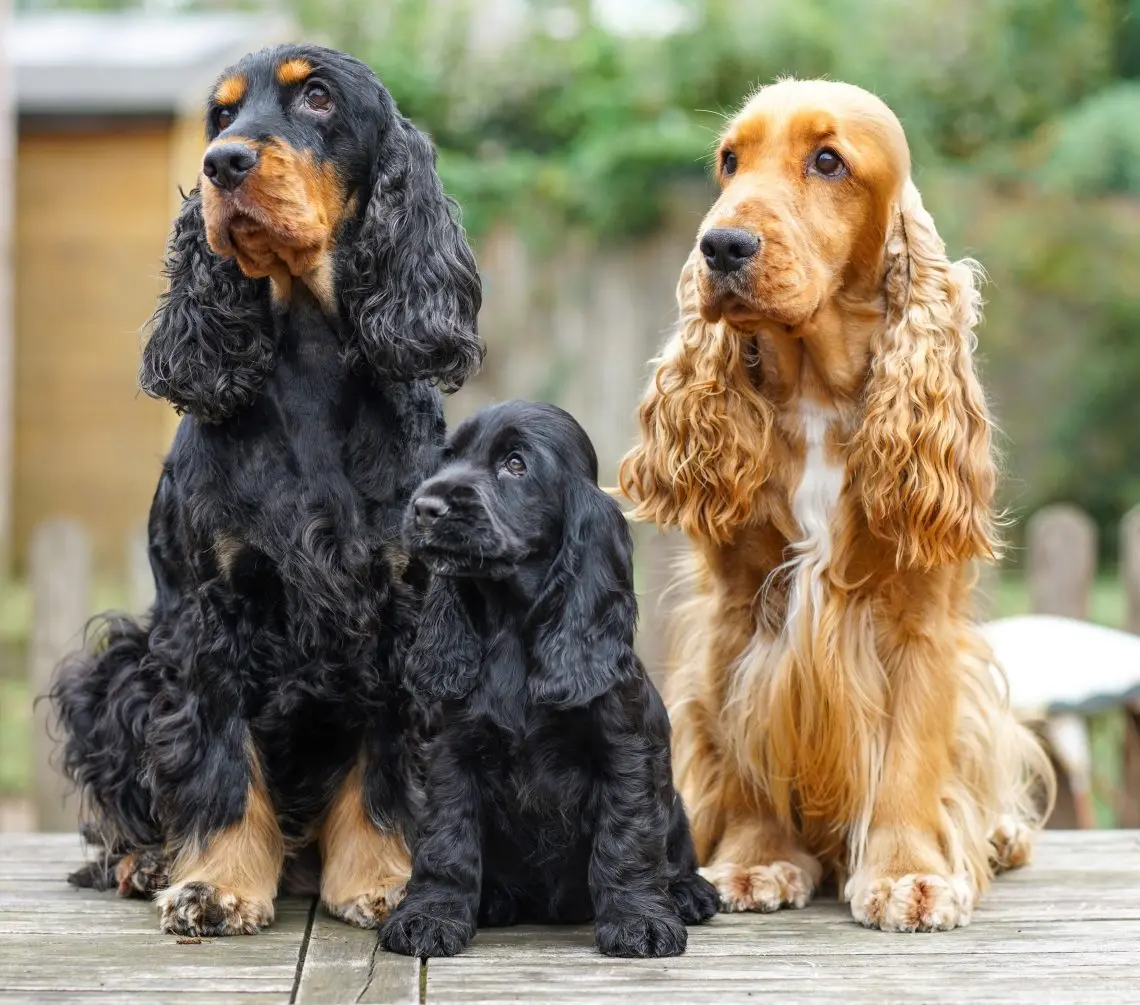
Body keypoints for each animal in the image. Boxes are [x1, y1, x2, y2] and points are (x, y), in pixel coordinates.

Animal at [51, 43, 478, 934]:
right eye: (220, 115)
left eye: (316, 98)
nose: (223, 162)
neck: (309, 358)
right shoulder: (208, 609)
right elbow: (217, 757)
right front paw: (215, 885)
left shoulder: (403, 608)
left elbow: (387, 762)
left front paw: (381, 878)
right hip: (117, 666)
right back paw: (145, 859)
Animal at [383, 398, 720, 957]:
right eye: (449, 457)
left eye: (515, 465)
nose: (424, 507)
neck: (512, 627)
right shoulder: (449, 753)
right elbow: (446, 841)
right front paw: (430, 916)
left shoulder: (627, 754)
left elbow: (627, 840)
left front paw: (640, 921)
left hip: (676, 805)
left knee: (676, 851)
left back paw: (690, 893)